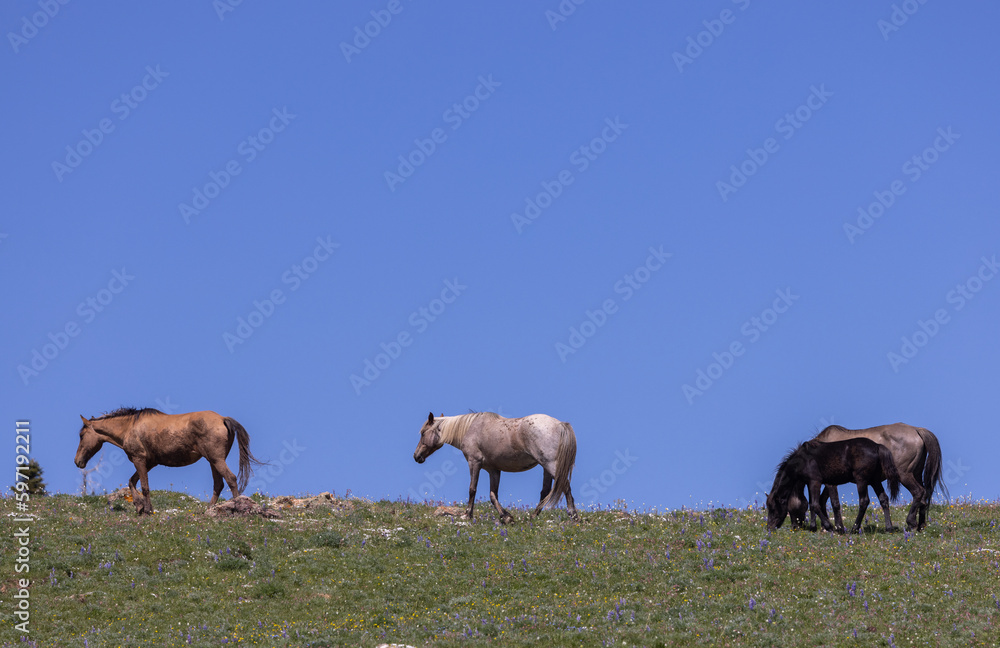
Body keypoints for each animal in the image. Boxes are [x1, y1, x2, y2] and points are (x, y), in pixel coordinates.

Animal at [74, 407, 264, 515]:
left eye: (81, 435)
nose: (77, 461)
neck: (129, 427)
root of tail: (223, 418)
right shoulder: (150, 462)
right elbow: (132, 482)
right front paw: (139, 506)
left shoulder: (139, 459)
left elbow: (144, 486)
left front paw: (147, 509)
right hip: (213, 461)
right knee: (219, 484)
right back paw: (209, 510)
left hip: (216, 459)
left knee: (231, 479)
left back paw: (237, 507)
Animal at [412, 411, 579, 523]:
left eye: (423, 433)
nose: (416, 456)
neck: (470, 429)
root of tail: (560, 424)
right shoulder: (493, 470)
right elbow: (493, 495)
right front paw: (506, 517)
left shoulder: (474, 463)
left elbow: (472, 489)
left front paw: (467, 514)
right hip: (545, 467)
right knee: (545, 492)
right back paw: (533, 516)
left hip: (550, 464)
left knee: (565, 486)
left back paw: (573, 515)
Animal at [767, 438, 901, 534]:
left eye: (772, 508)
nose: (769, 527)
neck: (803, 460)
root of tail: (877, 446)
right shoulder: (811, 482)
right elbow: (811, 504)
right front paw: (813, 527)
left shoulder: (815, 481)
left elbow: (815, 505)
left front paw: (830, 527)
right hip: (875, 481)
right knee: (884, 499)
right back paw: (889, 528)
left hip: (861, 480)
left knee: (864, 501)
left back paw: (854, 529)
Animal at [813, 423, 946, 530]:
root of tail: (916, 430)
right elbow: (822, 500)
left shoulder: (831, 482)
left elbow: (833, 503)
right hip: (916, 474)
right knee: (924, 495)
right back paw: (921, 525)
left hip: (904, 475)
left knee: (918, 492)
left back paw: (911, 522)